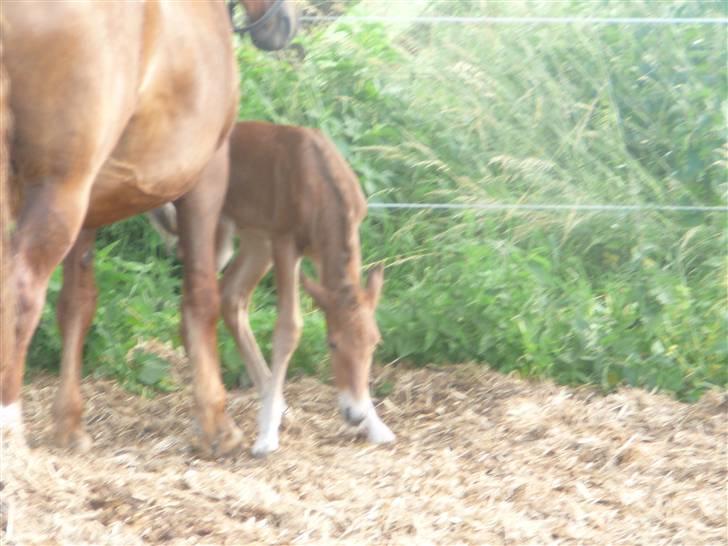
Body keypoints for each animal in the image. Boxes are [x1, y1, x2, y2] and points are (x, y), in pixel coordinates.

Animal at [0, 1, 298, 454]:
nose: (283, 25)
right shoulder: (207, 179)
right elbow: (201, 298)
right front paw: (216, 422)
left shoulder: (89, 211)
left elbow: (76, 305)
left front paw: (69, 425)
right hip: (60, 193)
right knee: (20, 292)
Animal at [150, 122, 396, 454]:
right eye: (332, 343)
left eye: (375, 344)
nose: (354, 414)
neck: (320, 185)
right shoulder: (285, 241)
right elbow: (289, 328)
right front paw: (267, 435)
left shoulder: (324, 246)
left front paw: (376, 426)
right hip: (217, 235)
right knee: (195, 305)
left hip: (256, 239)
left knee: (231, 296)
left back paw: (277, 405)